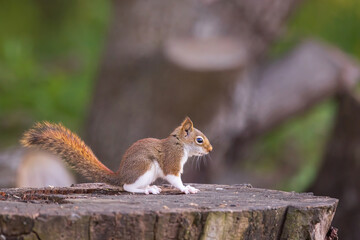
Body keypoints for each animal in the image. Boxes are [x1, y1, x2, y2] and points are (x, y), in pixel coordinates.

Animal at [21, 118, 212, 195]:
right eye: (199, 140)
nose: (210, 149)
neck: (180, 144)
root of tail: (120, 175)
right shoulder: (172, 161)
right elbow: (174, 178)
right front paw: (186, 188)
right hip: (144, 167)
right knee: (127, 187)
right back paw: (147, 189)